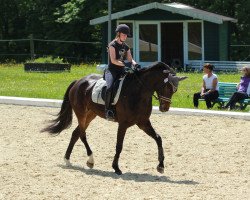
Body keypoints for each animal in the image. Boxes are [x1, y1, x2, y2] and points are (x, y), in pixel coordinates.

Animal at [42, 61, 187, 175]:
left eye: (174, 90)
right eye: (167, 86)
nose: (165, 108)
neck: (138, 92)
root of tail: (78, 81)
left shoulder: (143, 122)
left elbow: (158, 138)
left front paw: (161, 166)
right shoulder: (123, 124)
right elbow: (119, 145)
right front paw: (116, 168)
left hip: (91, 115)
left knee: (75, 133)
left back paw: (67, 159)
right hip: (81, 113)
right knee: (82, 134)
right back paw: (90, 160)